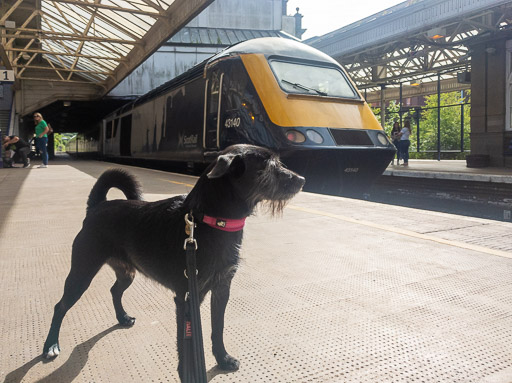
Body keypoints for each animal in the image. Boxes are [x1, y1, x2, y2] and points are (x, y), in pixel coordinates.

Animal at [43, 145, 304, 380]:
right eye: (267, 166)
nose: (302, 180)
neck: (209, 220)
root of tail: (97, 206)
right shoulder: (187, 298)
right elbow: (186, 340)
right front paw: (188, 372)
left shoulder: (222, 288)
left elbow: (217, 328)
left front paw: (222, 358)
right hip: (82, 272)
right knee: (60, 306)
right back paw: (50, 345)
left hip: (127, 272)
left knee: (115, 290)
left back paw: (122, 317)